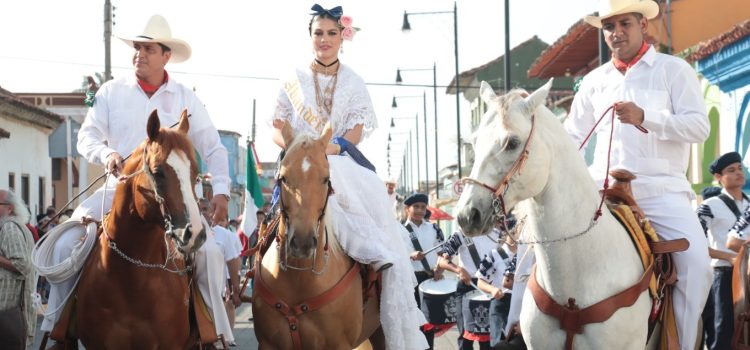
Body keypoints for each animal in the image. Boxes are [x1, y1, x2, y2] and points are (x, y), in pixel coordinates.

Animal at [254, 121, 384, 348]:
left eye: (326, 179)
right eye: (283, 178)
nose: (302, 242)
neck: (300, 280)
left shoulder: (340, 344)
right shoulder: (268, 344)